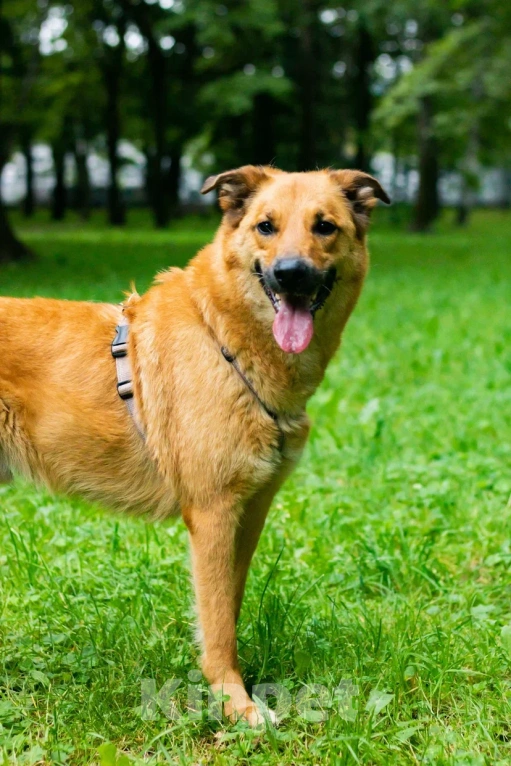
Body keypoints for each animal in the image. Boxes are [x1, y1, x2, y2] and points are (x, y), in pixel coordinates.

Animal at [0, 166, 390, 728]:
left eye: (325, 226)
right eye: (266, 226)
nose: (290, 275)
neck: (224, 338)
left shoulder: (249, 514)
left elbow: (226, 607)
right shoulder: (212, 514)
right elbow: (219, 623)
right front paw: (237, 705)